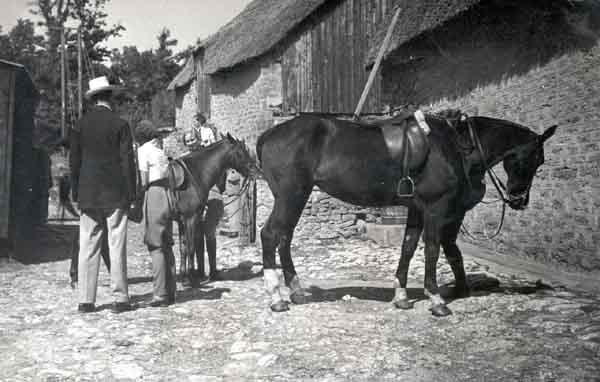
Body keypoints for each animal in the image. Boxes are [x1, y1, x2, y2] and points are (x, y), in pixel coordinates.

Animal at [168, 134, 256, 286]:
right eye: (240, 152)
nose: (254, 170)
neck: (192, 177)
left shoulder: (181, 221)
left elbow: (183, 248)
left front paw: (184, 277)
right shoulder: (190, 218)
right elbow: (191, 248)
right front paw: (191, 279)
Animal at [258, 112, 556, 314]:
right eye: (535, 159)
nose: (519, 200)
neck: (455, 145)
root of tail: (267, 136)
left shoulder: (415, 210)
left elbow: (408, 247)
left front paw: (401, 296)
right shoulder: (436, 209)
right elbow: (433, 249)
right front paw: (436, 299)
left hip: (295, 197)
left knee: (285, 237)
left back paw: (296, 291)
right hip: (291, 196)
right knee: (271, 235)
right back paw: (276, 298)